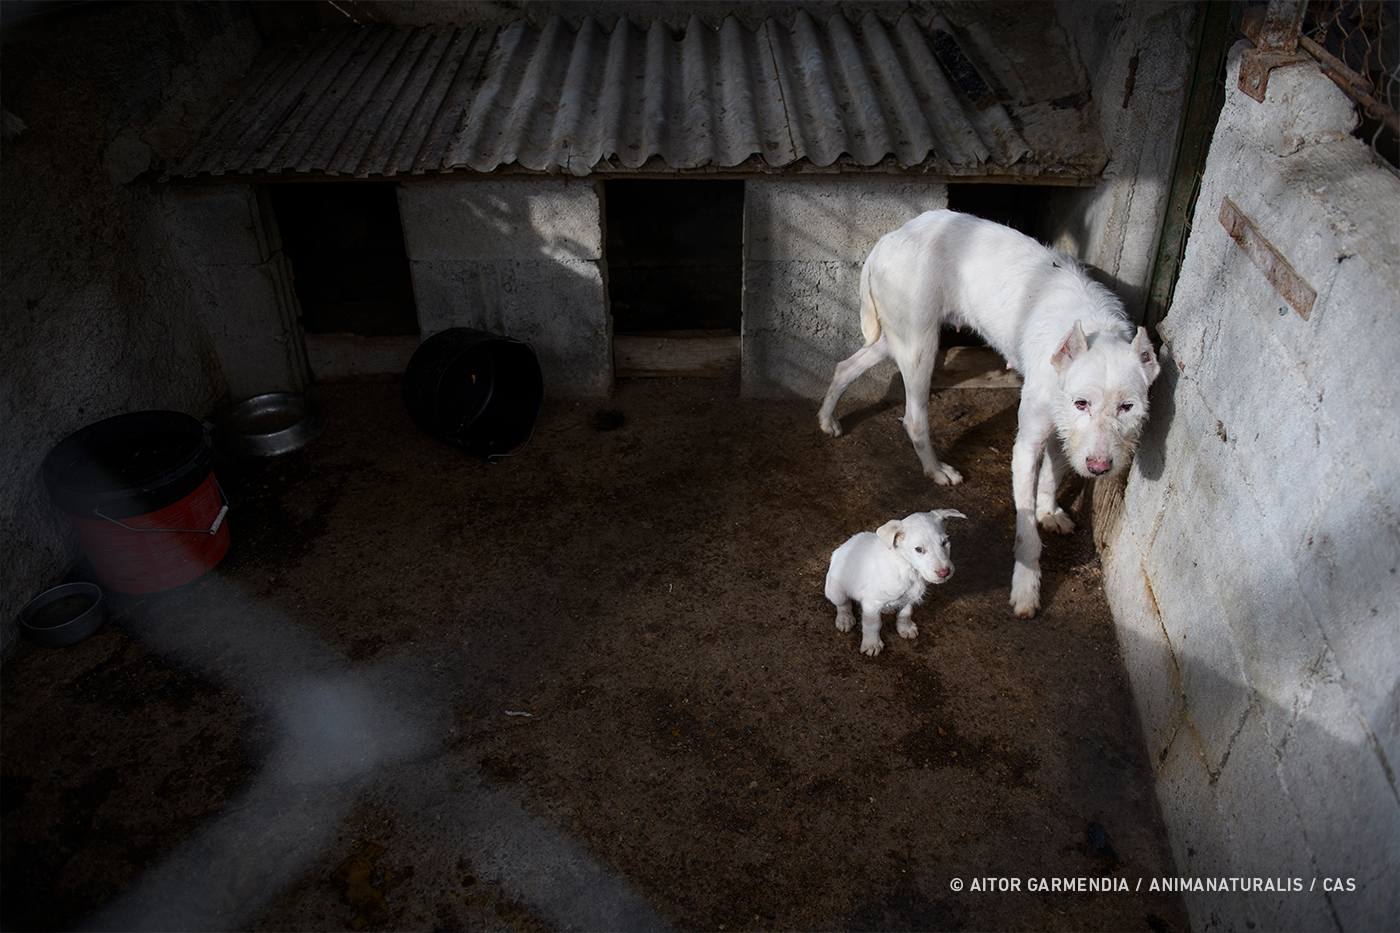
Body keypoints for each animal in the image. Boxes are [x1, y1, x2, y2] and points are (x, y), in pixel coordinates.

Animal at [817, 210, 1159, 616]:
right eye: (1082, 403)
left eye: (1127, 406)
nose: (1100, 468)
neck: (1093, 328)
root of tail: (891, 236)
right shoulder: (1028, 444)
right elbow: (1027, 531)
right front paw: (1026, 589)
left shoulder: (1064, 433)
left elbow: (1054, 473)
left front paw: (1049, 510)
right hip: (920, 347)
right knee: (914, 417)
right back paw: (935, 470)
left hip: (892, 338)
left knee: (844, 367)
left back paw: (827, 419)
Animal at [817, 509, 963, 652]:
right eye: (919, 549)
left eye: (944, 543)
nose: (945, 573)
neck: (908, 569)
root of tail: (839, 549)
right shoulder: (871, 603)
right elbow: (873, 624)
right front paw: (872, 644)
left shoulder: (909, 597)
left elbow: (905, 613)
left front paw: (905, 628)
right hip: (835, 590)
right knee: (843, 604)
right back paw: (845, 619)